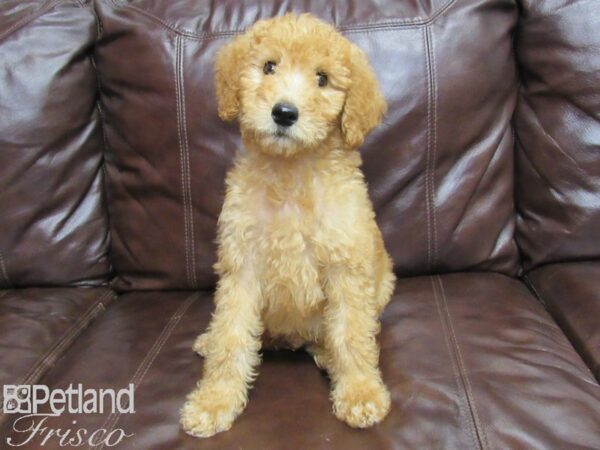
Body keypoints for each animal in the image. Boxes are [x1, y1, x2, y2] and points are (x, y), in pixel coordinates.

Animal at [182, 13, 398, 436]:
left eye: (322, 79)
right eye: (269, 66)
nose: (284, 113)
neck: (291, 174)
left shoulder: (346, 266)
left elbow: (351, 333)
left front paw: (360, 393)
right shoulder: (242, 265)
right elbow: (232, 336)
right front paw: (214, 401)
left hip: (381, 286)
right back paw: (208, 340)